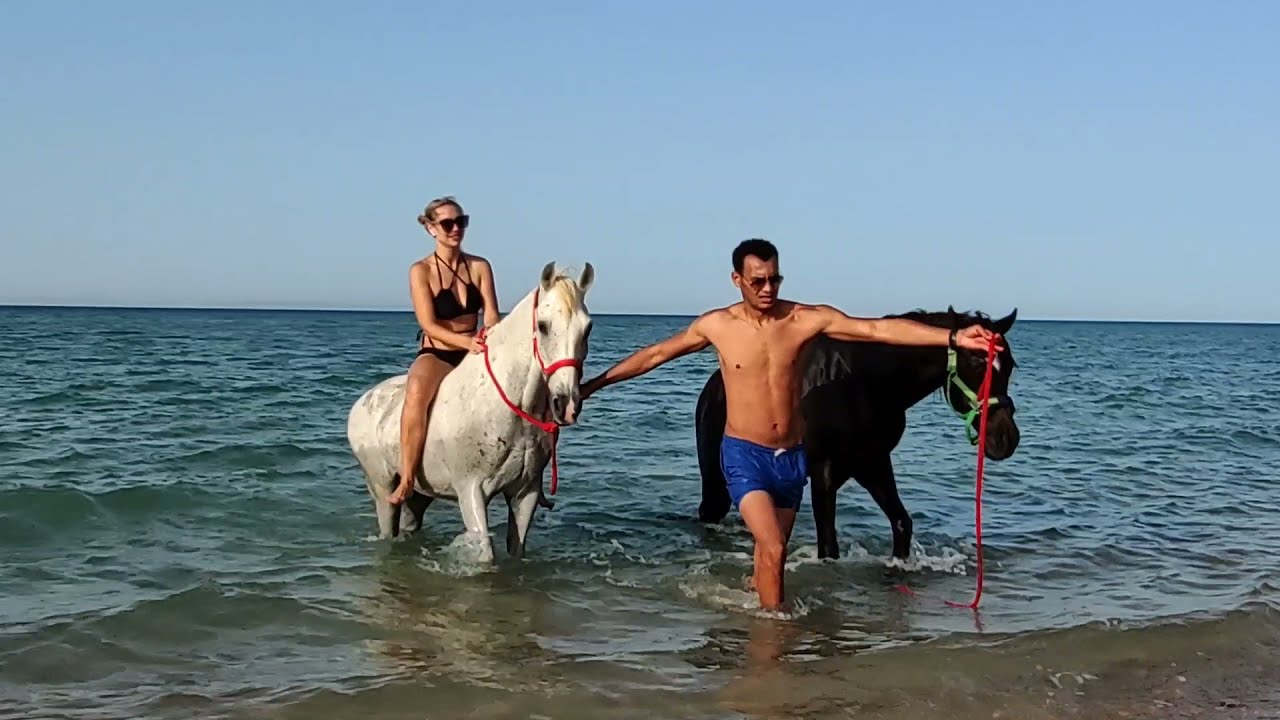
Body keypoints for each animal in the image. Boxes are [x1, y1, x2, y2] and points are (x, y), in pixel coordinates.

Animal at [347, 262, 595, 562]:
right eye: (543, 326)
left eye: (587, 329)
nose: (566, 404)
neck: (509, 408)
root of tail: (361, 402)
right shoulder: (471, 491)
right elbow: (485, 552)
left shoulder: (525, 493)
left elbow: (517, 549)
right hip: (383, 489)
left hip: (418, 496)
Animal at [693, 307, 1020, 561]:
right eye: (976, 364)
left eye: (1009, 365)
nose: (1005, 438)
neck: (865, 382)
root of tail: (714, 387)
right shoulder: (823, 469)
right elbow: (829, 544)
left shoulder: (872, 463)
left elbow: (901, 523)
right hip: (717, 479)